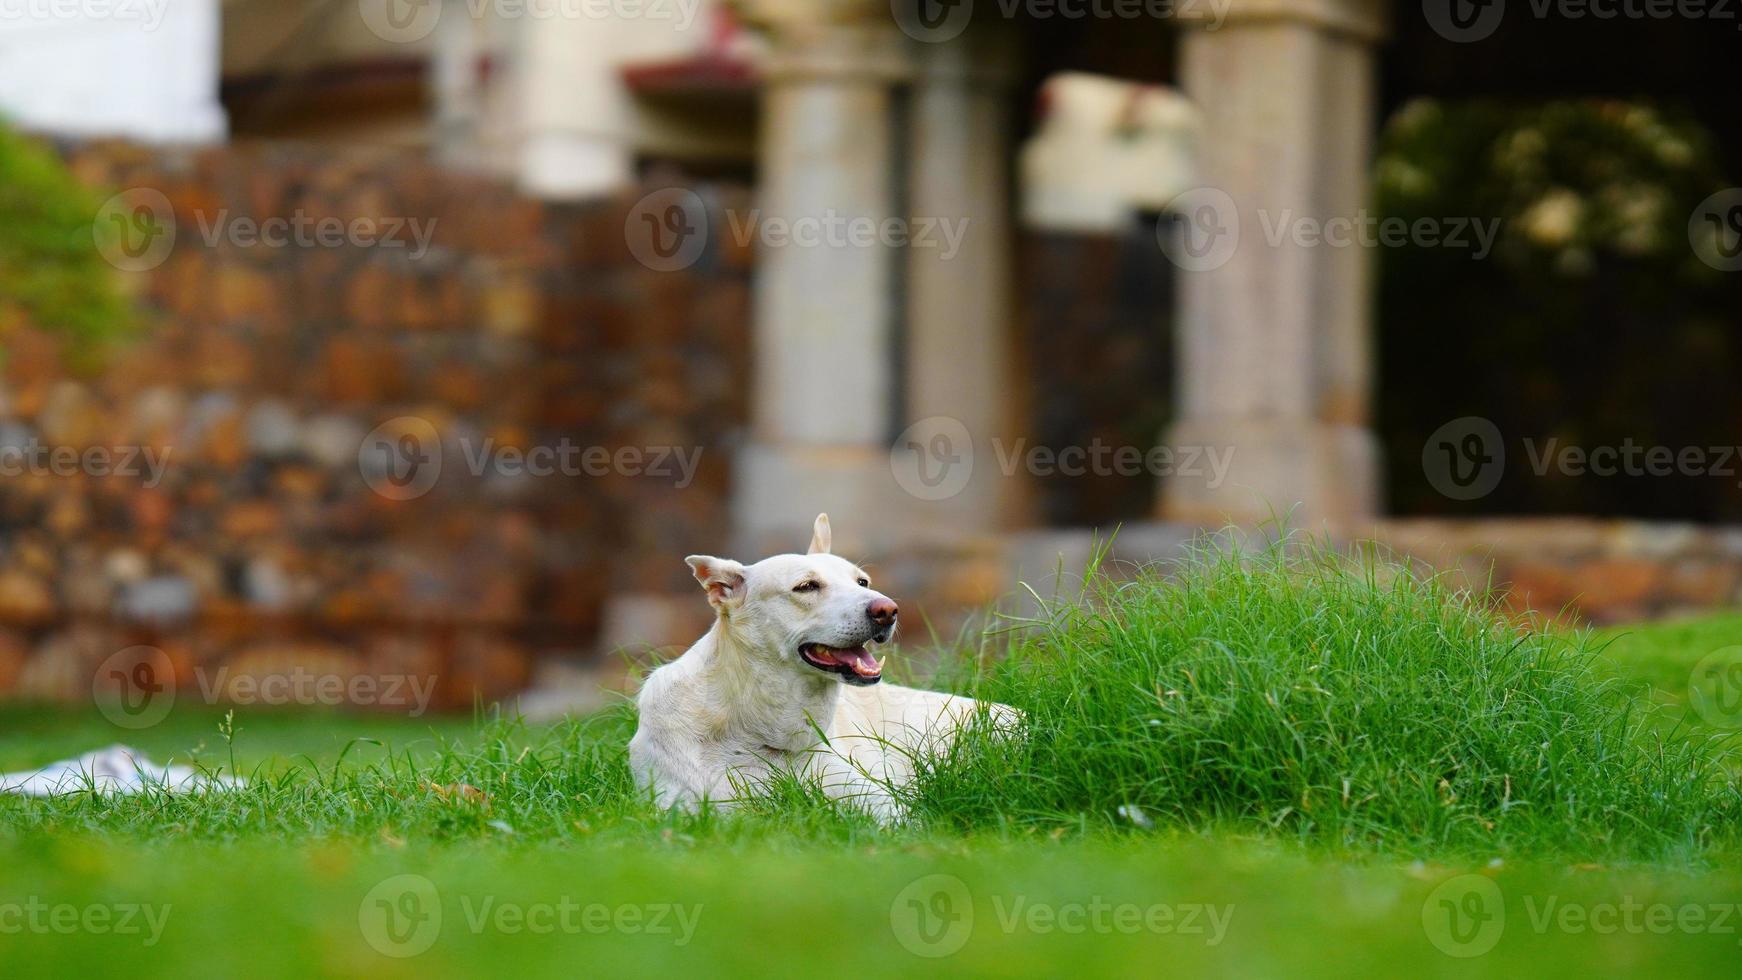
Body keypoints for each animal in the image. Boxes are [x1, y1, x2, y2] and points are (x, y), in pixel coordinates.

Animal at [627, 515, 1017, 821]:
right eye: (806, 586)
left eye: (862, 582)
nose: (888, 610)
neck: (755, 733)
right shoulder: (686, 807)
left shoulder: (878, 800)